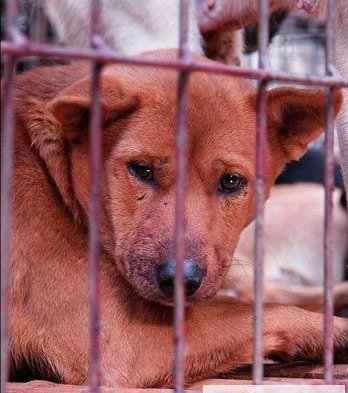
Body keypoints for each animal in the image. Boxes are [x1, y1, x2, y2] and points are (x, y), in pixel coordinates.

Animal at [8, 51, 348, 386]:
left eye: (231, 181)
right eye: (141, 169)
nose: (181, 280)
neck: (55, 172)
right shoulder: (117, 339)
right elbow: (263, 312)